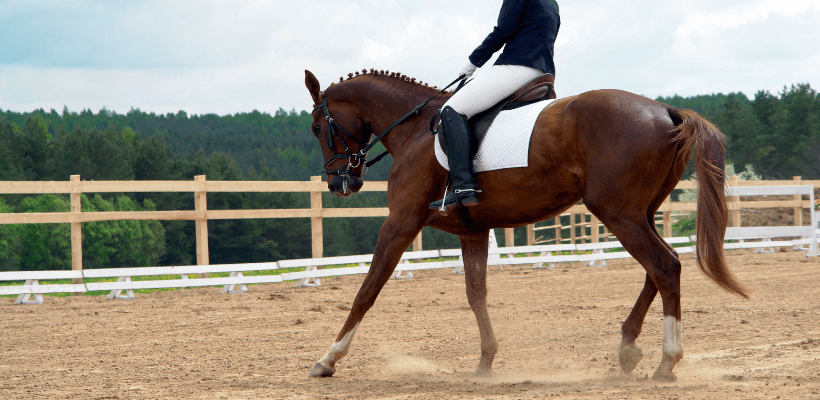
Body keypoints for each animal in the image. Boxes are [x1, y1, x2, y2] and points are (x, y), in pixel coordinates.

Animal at [302, 68, 748, 382]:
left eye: (317, 127)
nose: (340, 183)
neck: (414, 130)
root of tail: (665, 111)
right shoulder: (473, 230)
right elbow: (476, 295)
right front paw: (485, 361)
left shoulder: (400, 222)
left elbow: (367, 290)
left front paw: (328, 358)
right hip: (640, 212)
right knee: (659, 267)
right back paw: (628, 349)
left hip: (618, 213)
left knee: (664, 266)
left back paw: (665, 362)